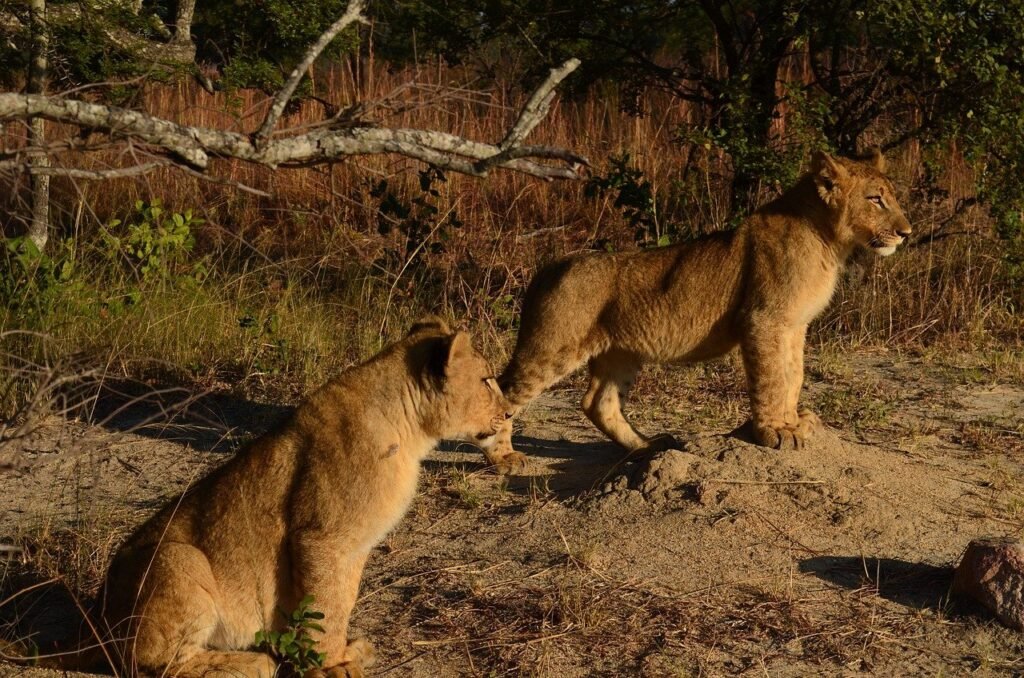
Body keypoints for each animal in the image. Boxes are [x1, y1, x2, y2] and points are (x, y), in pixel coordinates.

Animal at [43, 319, 510, 677]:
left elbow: (339, 602)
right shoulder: (321, 537)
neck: (410, 430)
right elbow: (326, 607)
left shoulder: (353, 548)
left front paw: (344, 651)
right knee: (153, 666)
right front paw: (333, 665)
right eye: (487, 380)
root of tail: (94, 621)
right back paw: (256, 662)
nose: (509, 414)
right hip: (179, 557)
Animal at [481, 150, 911, 474]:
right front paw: (773, 431)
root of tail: (550, 267)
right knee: (502, 393)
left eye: (890, 196)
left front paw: (794, 422)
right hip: (552, 347)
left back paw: (649, 445)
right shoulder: (764, 320)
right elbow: (773, 379)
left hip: (619, 352)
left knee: (598, 403)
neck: (828, 241)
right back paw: (504, 459)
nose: (906, 232)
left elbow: (794, 375)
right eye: (875, 199)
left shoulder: (793, 325)